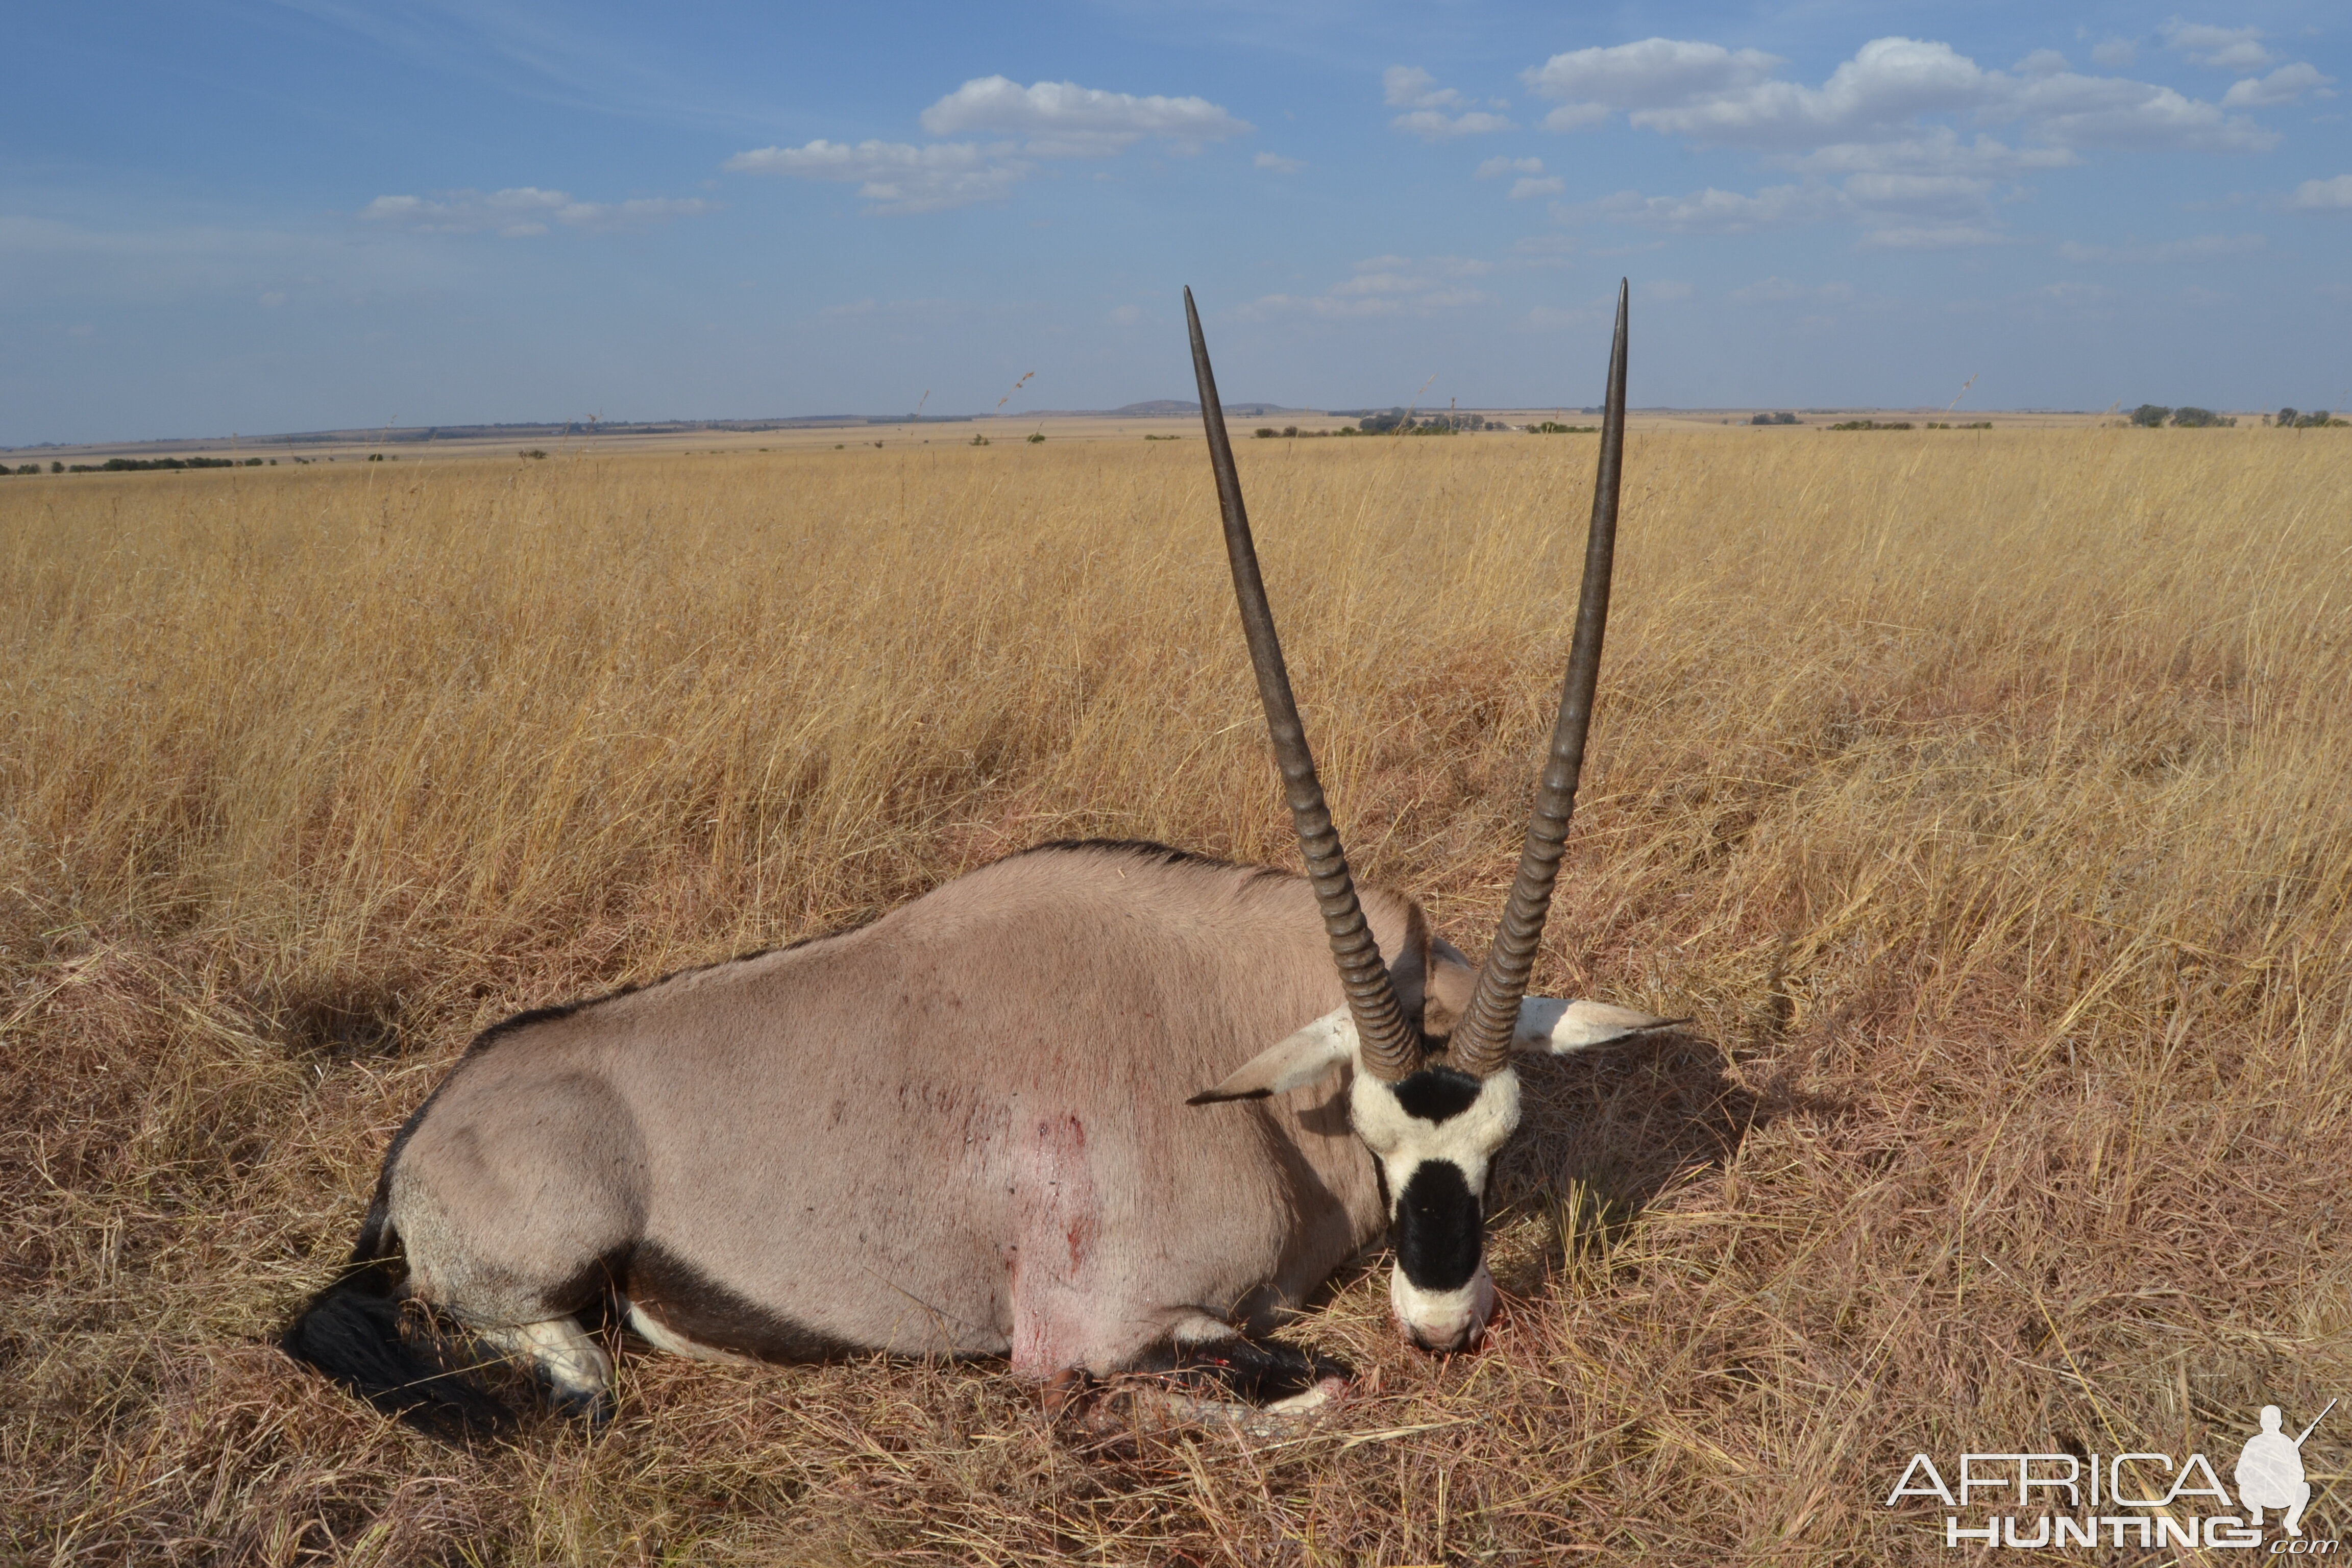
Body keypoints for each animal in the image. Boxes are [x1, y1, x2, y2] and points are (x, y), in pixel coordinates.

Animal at [284, 282, 1665, 1438]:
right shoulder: (1100, 1327)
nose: (1443, 1323)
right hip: (544, 1279)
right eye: (1379, 1136)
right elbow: (1279, 1384)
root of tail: (429, 1128)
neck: (1226, 1039)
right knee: (575, 1377)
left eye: (1501, 1140)